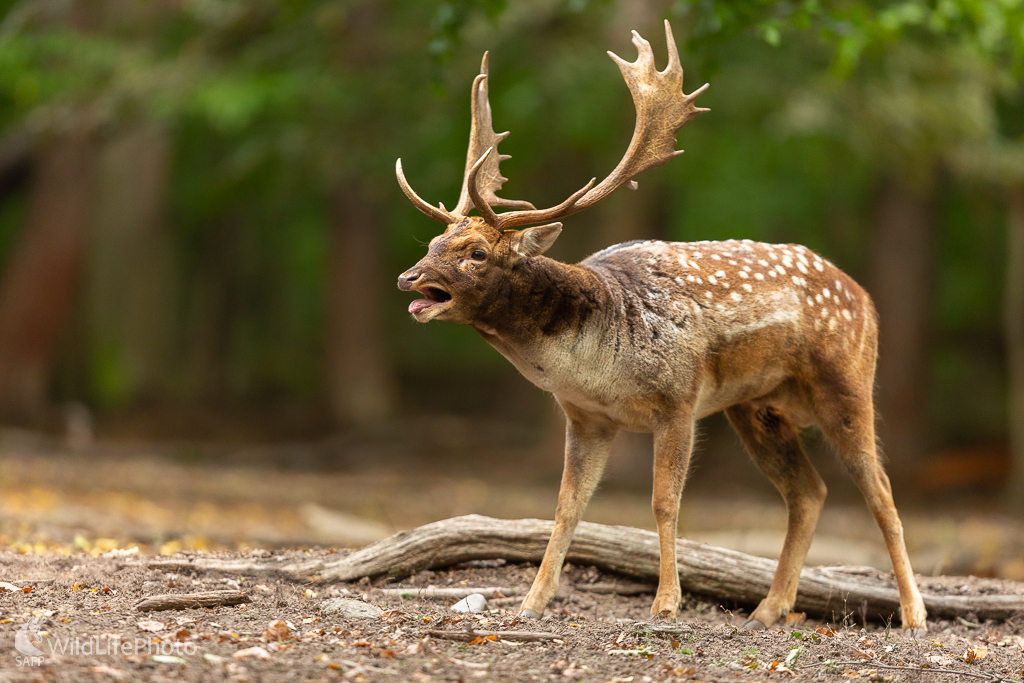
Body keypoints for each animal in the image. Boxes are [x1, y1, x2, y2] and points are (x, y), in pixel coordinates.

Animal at [395, 18, 933, 634]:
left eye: (477, 253)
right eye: (434, 241)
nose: (408, 277)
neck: (595, 366)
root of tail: (865, 298)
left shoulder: (678, 399)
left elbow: (663, 502)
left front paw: (666, 602)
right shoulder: (585, 418)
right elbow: (566, 506)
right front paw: (532, 602)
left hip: (846, 382)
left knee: (882, 493)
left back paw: (914, 614)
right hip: (756, 406)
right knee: (809, 491)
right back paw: (768, 609)